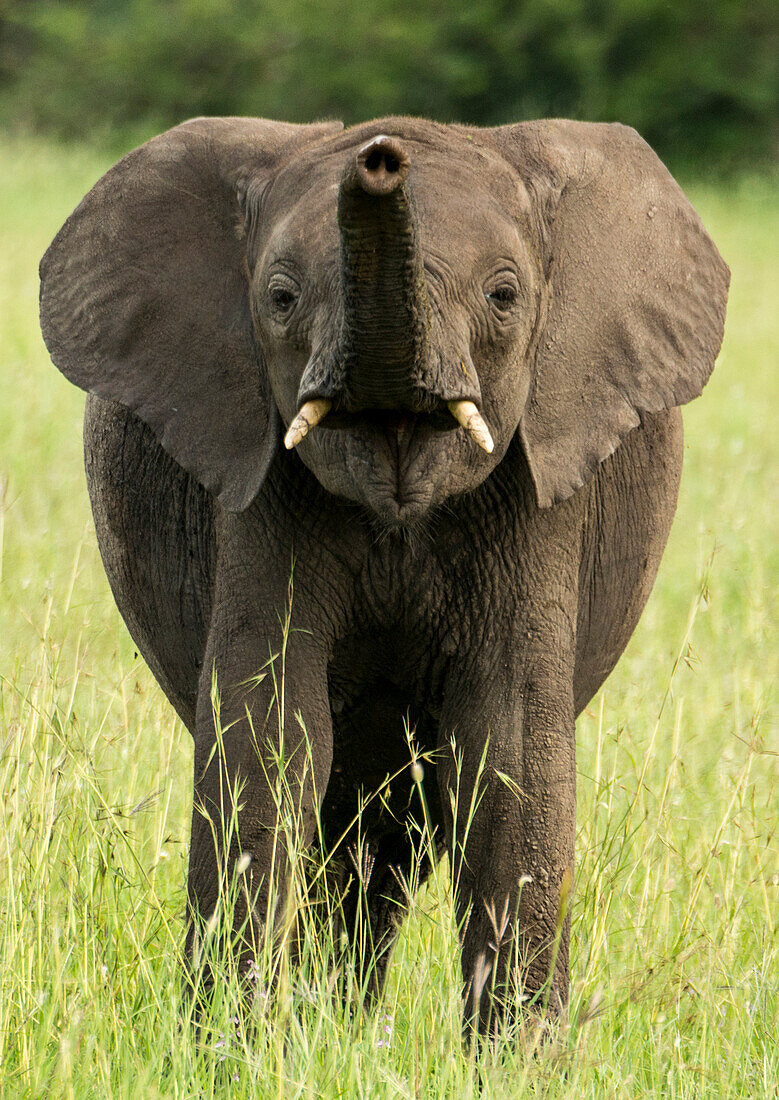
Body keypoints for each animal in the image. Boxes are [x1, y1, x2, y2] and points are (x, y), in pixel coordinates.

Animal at [37, 116, 730, 1025]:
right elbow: (270, 727)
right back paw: (332, 1020)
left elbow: (508, 745)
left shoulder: (539, 487)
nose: (380, 154)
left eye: (504, 297)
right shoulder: (257, 481)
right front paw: (230, 1041)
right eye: (280, 298)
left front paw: (513, 1051)